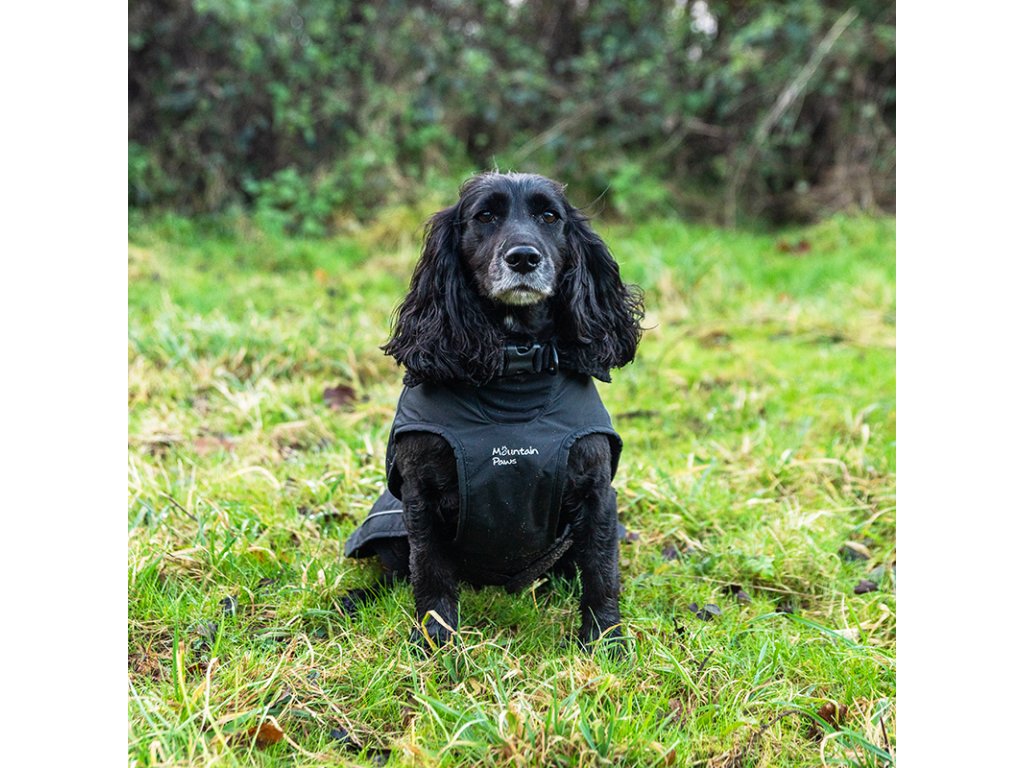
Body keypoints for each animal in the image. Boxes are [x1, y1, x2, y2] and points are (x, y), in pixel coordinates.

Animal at [344, 172, 643, 651]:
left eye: (549, 216)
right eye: (485, 216)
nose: (523, 257)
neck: (514, 371)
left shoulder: (596, 493)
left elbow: (601, 570)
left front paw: (605, 640)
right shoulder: (419, 495)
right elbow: (429, 572)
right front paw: (436, 642)